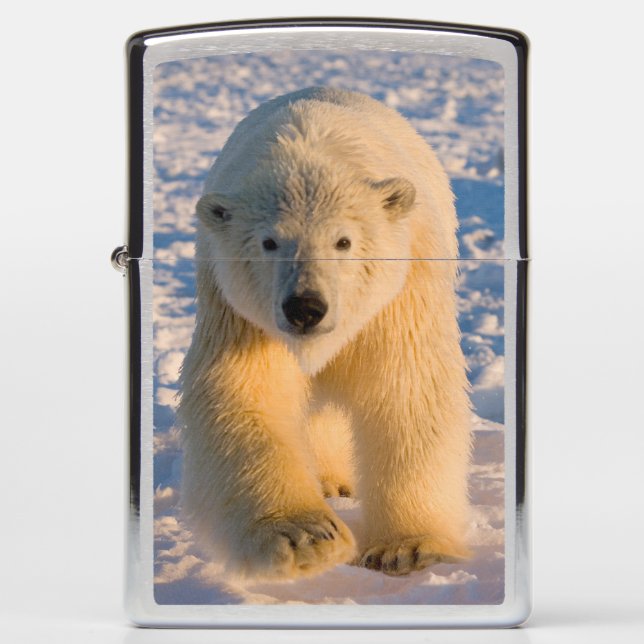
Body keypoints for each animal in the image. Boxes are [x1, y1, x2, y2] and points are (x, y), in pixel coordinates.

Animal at [179, 87, 472, 580]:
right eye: (269, 242)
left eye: (344, 241)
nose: (305, 308)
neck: (311, 148)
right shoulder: (238, 310)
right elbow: (244, 391)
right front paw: (307, 538)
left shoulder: (400, 295)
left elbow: (407, 390)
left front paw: (408, 549)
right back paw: (329, 480)